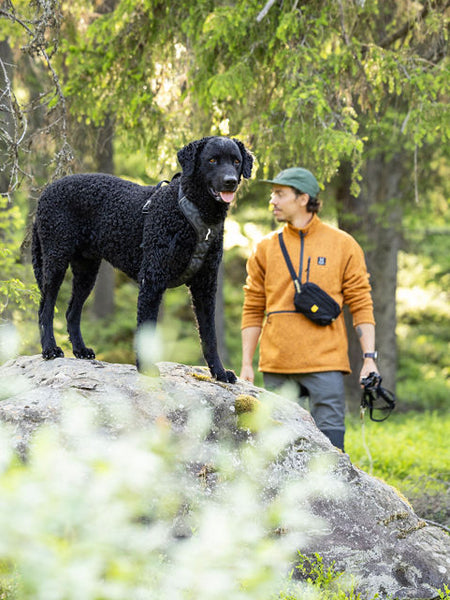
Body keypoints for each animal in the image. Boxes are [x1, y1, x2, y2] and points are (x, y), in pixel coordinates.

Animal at [32, 137, 253, 382]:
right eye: (212, 160)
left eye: (236, 161)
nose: (230, 182)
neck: (194, 214)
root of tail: (45, 192)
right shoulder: (152, 280)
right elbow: (147, 329)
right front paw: (146, 368)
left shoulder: (205, 286)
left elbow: (209, 336)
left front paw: (219, 372)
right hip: (55, 260)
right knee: (45, 309)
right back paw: (50, 349)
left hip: (86, 270)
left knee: (72, 312)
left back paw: (80, 350)